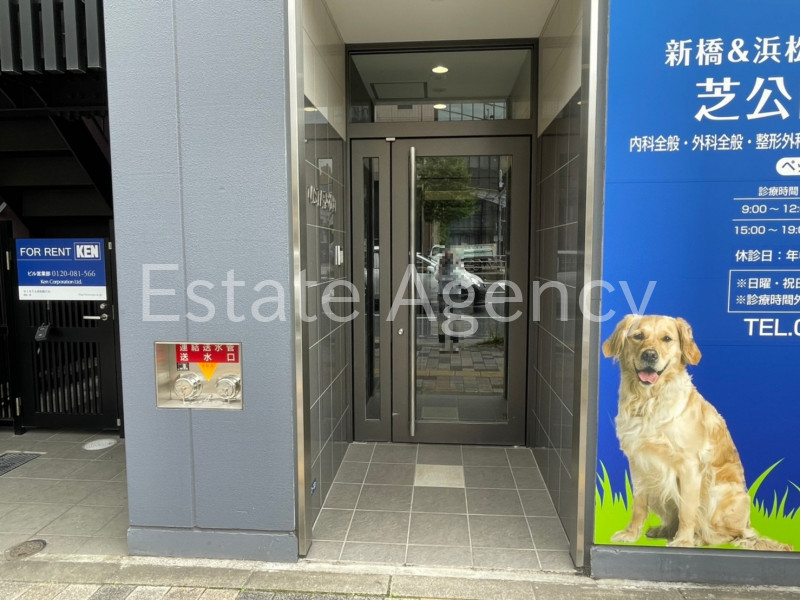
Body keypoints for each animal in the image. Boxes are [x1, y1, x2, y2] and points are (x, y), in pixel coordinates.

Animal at [602, 314, 792, 551]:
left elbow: (687, 509)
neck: (649, 400)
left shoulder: (689, 466)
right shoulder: (639, 463)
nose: (650, 355)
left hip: (719, 493)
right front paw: (630, 534)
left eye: (667, 339)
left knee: (732, 534)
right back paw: (663, 530)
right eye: (638, 336)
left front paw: (684, 540)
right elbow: (638, 505)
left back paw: (702, 538)